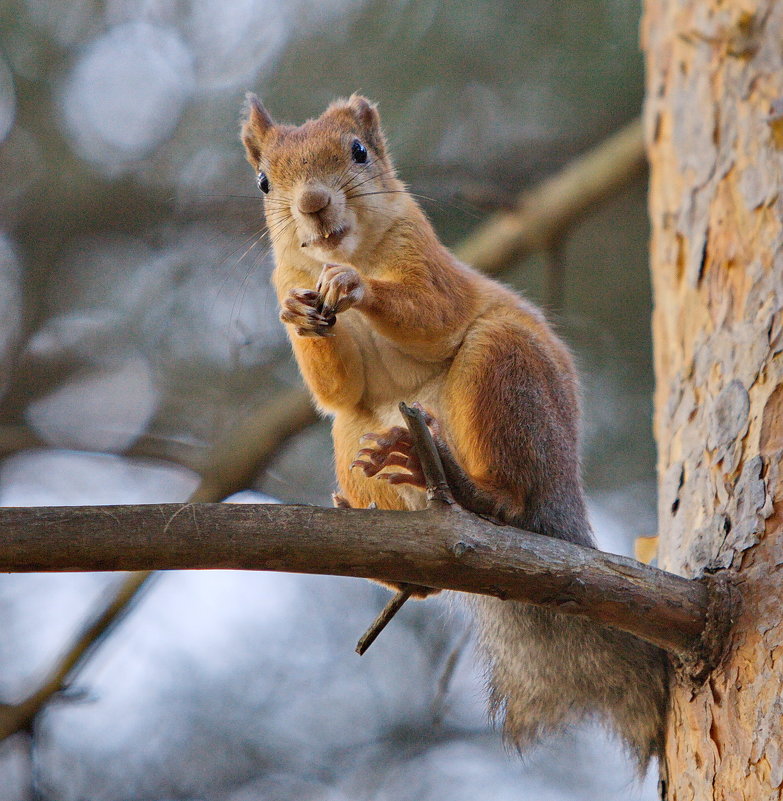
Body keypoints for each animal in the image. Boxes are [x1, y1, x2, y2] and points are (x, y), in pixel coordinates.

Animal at [239, 95, 668, 776]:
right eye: (262, 181)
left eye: (358, 151)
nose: (312, 203)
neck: (347, 251)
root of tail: (562, 501)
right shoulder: (291, 280)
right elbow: (337, 390)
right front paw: (299, 315)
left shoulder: (427, 258)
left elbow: (429, 310)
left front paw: (359, 288)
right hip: (356, 438)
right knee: (409, 540)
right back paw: (389, 541)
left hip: (503, 372)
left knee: (510, 496)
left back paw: (473, 492)